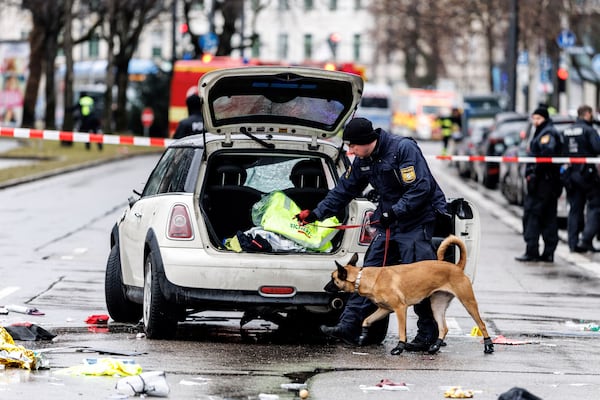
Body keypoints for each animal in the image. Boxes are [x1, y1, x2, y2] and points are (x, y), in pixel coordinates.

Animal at [326, 236, 494, 354]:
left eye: (333, 279)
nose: (325, 287)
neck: (364, 278)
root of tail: (457, 267)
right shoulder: (384, 310)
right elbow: (366, 320)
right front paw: (362, 336)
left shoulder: (400, 309)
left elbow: (402, 331)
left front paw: (399, 347)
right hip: (437, 306)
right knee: (444, 328)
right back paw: (435, 346)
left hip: (468, 302)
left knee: (482, 324)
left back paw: (488, 345)